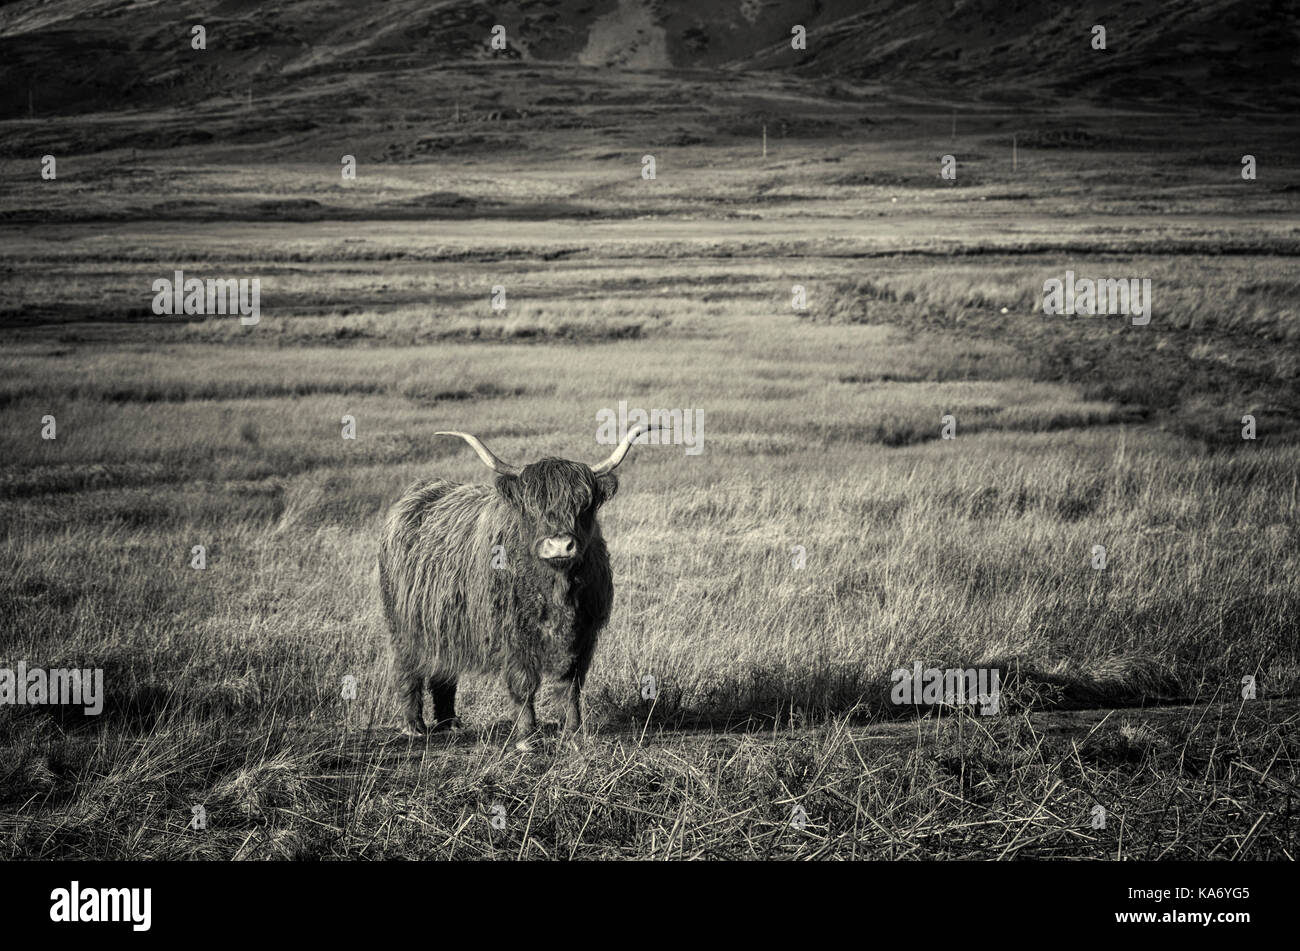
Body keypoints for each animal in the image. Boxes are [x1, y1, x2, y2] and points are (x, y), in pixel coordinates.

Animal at [378, 423, 659, 745]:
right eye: (531, 507)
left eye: (584, 505)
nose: (560, 545)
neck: (556, 590)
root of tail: (419, 491)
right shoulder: (512, 634)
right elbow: (524, 683)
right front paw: (526, 736)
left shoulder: (583, 635)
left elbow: (570, 684)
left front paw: (573, 731)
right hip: (403, 624)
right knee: (407, 668)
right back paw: (414, 725)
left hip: (443, 621)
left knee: (443, 668)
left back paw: (449, 722)